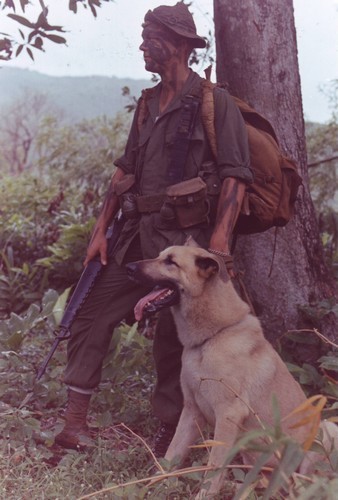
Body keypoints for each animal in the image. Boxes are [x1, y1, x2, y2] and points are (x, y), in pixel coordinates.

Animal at [126, 240, 338, 498]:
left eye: (171, 262)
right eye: (160, 256)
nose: (128, 267)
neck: (212, 337)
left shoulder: (228, 415)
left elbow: (214, 467)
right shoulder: (191, 412)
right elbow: (171, 455)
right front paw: (155, 487)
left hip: (325, 432)